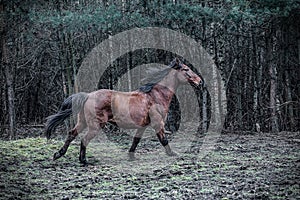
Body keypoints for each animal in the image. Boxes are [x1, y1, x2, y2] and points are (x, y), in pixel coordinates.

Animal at [46, 57, 202, 164]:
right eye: (186, 69)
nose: (199, 81)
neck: (156, 95)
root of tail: (88, 96)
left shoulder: (143, 126)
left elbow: (136, 141)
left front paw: (131, 155)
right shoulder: (158, 123)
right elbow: (163, 139)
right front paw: (172, 154)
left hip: (83, 122)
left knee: (72, 134)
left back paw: (58, 154)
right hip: (96, 125)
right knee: (84, 139)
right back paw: (83, 160)